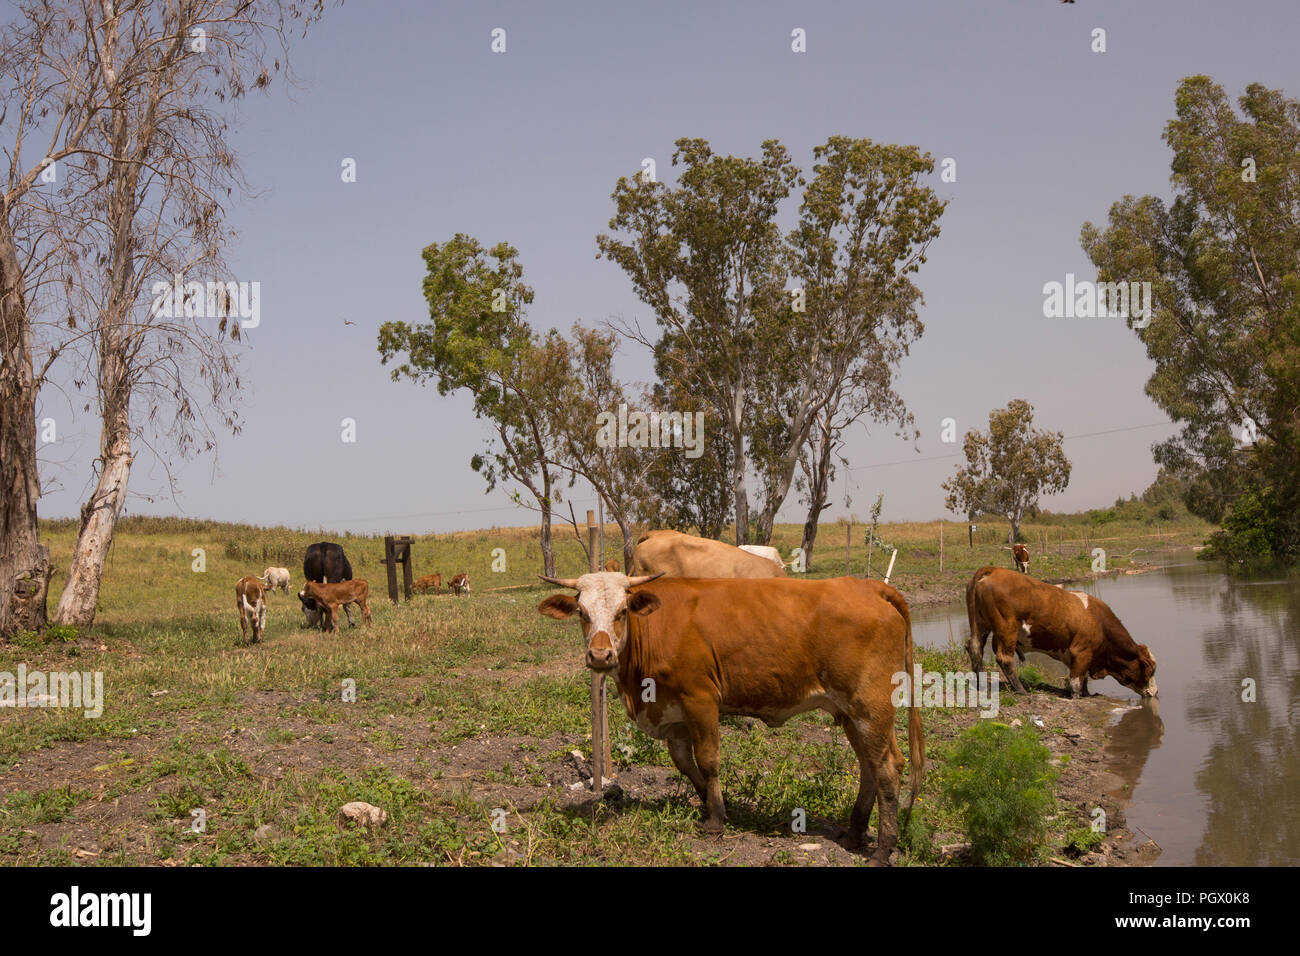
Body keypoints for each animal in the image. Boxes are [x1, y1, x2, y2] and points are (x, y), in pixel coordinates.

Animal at [538, 572, 925, 868]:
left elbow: (708, 761)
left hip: (870, 706)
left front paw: (715, 821)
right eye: (582, 612)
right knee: (868, 765)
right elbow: (685, 763)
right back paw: (855, 833)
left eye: (621, 612)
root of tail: (867, 586)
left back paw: (882, 850)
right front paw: (718, 807)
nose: (600, 655)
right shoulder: (675, 714)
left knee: (887, 766)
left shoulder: (701, 699)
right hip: (851, 713)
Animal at [967, 564, 1159, 697]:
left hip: (980, 625)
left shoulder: (1077, 656)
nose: (1155, 692)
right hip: (1007, 630)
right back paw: (1021, 690)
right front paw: (1077, 696)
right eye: (1150, 670)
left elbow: (1083, 678)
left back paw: (979, 683)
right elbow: (1075, 681)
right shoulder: (1082, 651)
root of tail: (994, 570)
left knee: (975, 648)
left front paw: (1087, 694)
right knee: (1004, 658)